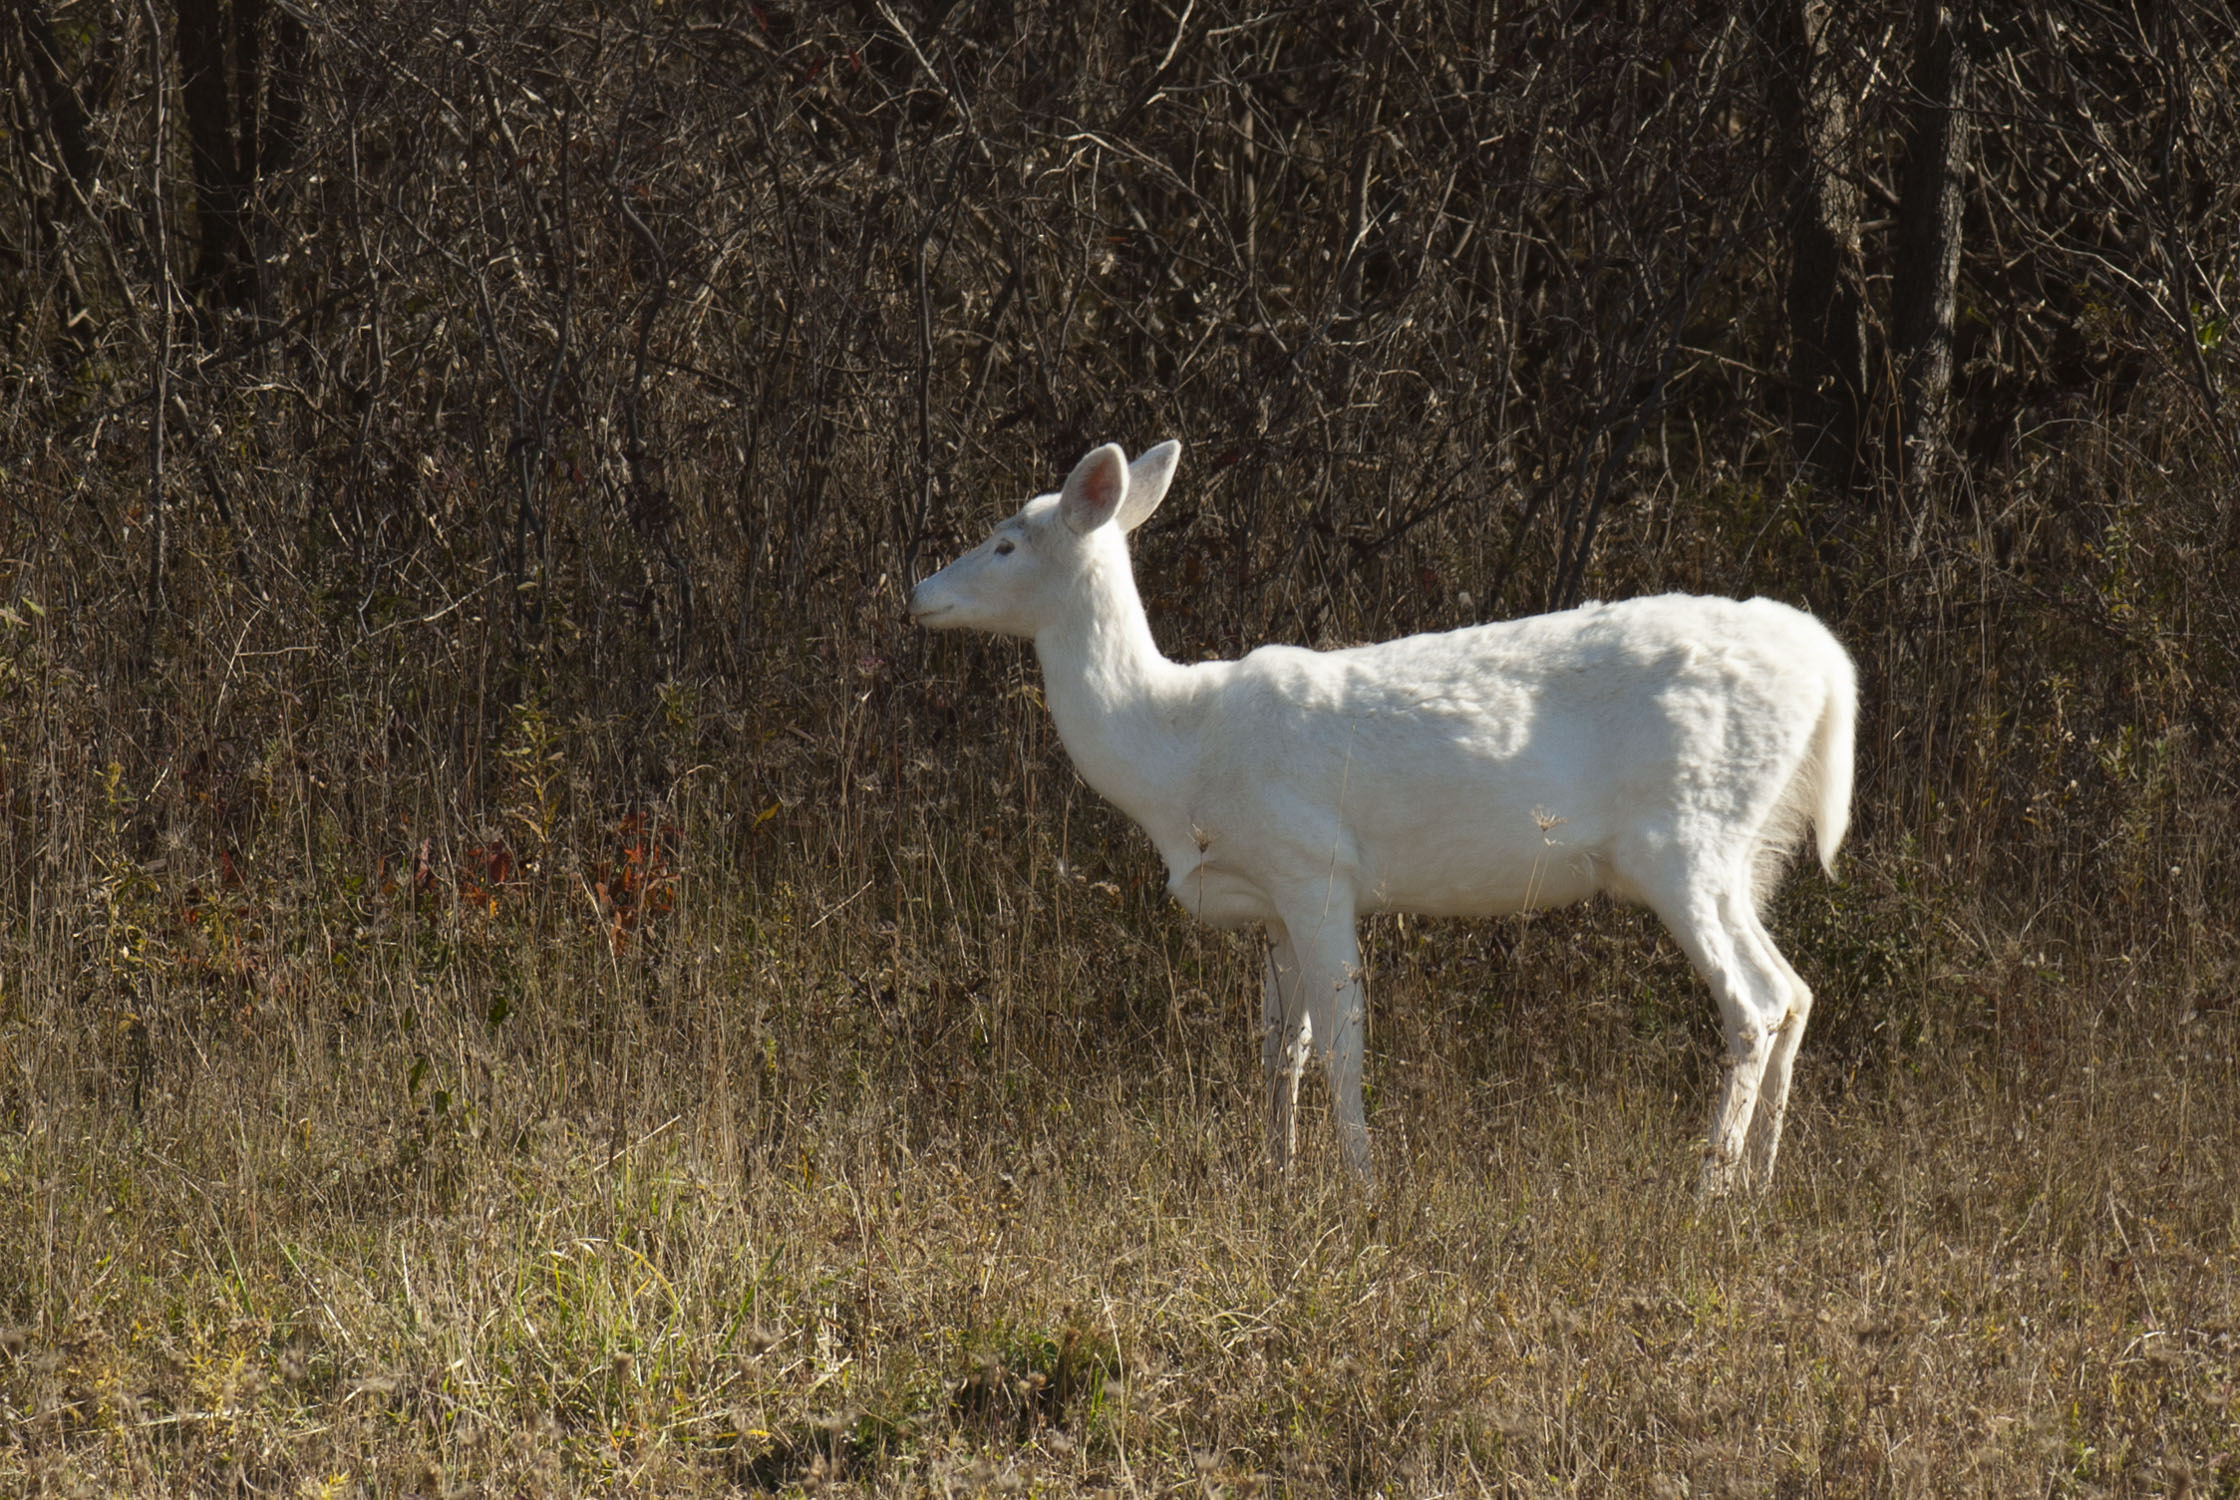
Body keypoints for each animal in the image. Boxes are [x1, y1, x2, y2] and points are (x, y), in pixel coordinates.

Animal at [904, 441, 1854, 1191]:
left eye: (1005, 541)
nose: (917, 591)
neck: (1177, 748)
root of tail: (1830, 670)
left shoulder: (1315, 867)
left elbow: (1342, 1042)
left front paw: (1361, 1188)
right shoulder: (1271, 905)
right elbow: (1278, 1049)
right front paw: (1276, 1176)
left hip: (1685, 837)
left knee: (1755, 1002)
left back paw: (1709, 1189)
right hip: (1743, 851)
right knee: (1798, 990)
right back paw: (1762, 1181)